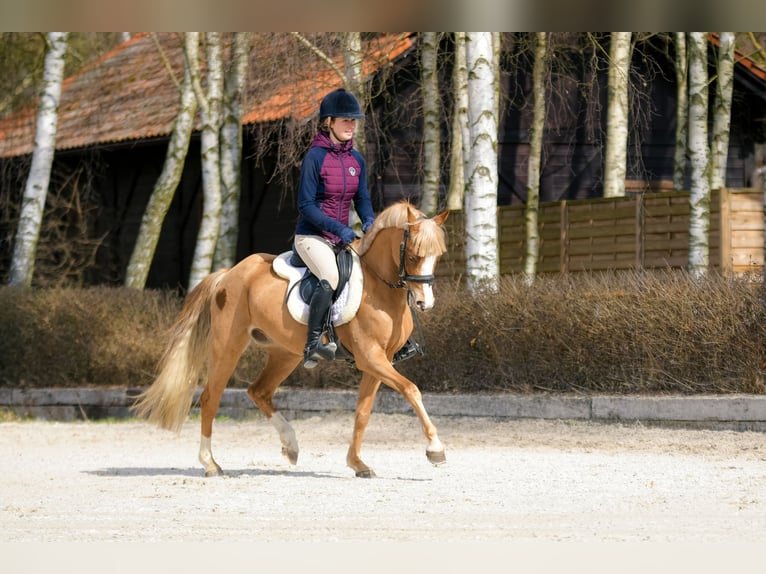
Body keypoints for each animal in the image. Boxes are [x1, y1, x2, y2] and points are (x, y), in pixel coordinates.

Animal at [133, 200, 450, 478]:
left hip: (285, 353)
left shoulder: (377, 362)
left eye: (437, 256)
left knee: (259, 391)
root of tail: (228, 274)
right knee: (211, 397)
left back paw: (291, 446)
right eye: (413, 256)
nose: (425, 303)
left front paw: (358, 463)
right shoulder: (370, 357)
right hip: (228, 347)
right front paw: (435, 449)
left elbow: (363, 413)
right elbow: (411, 390)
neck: (379, 288)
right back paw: (211, 464)